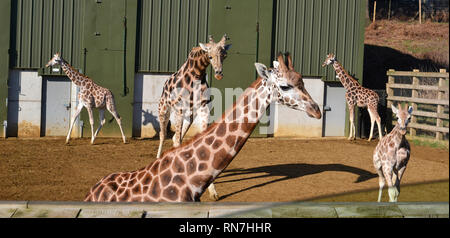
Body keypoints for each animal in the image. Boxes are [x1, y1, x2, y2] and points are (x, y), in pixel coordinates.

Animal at [156, 34, 230, 200]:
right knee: (163, 135)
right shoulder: (179, 109)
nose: (219, 74)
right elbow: (174, 139)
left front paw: (213, 191)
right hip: (164, 109)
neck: (196, 74)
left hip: (189, 117)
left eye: (224, 55)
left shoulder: (203, 109)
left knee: (176, 138)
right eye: (210, 56)